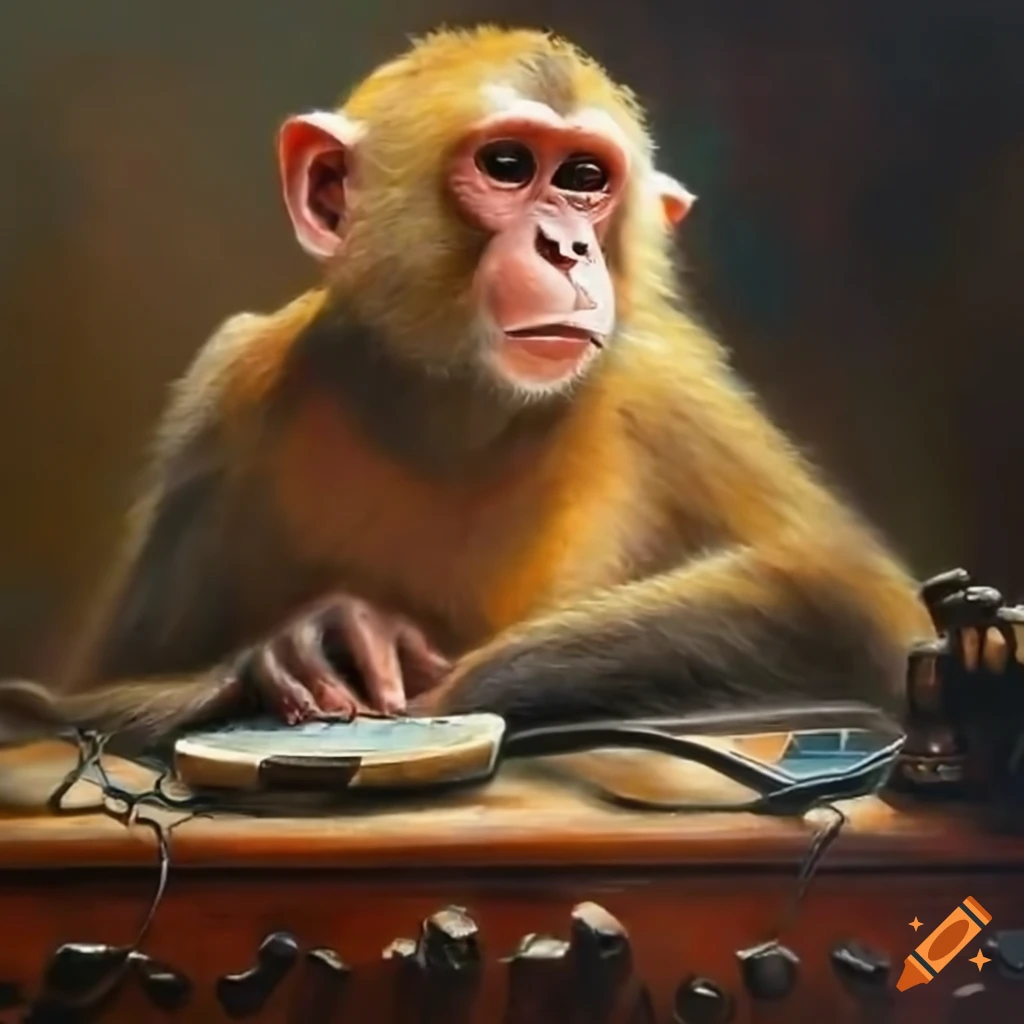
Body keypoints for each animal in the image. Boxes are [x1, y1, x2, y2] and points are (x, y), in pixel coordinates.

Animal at [0, 26, 933, 753]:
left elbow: (852, 599)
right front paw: (292, 653)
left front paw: (453, 683)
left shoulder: (673, 389)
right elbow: (97, 684)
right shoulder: (222, 392)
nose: (567, 246)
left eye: (585, 180)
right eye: (509, 166)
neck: (452, 403)